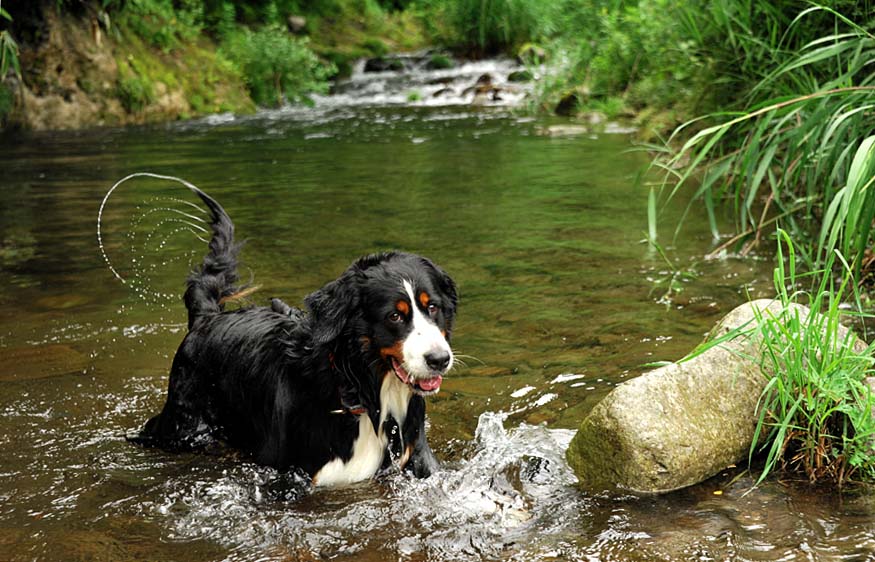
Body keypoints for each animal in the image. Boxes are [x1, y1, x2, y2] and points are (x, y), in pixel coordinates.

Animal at [133, 186, 458, 484]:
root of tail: (208, 315)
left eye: (432, 307)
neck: (357, 389)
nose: (439, 359)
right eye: (394, 316)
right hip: (182, 425)